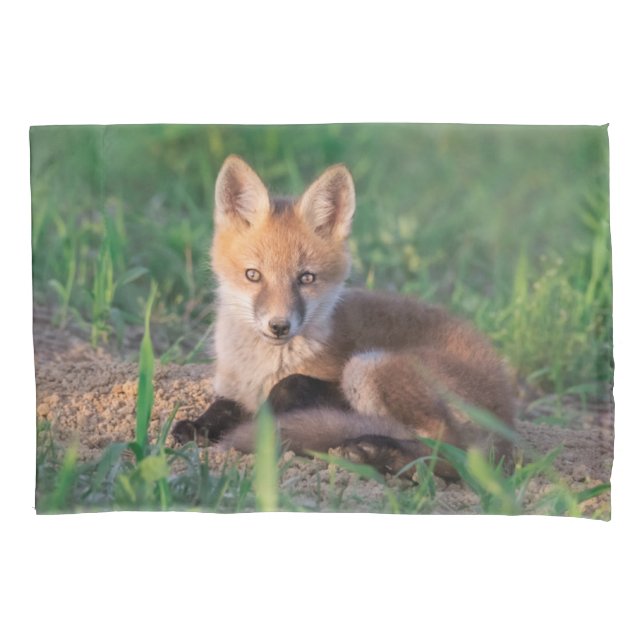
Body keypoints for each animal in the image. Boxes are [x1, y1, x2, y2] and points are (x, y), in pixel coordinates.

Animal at [172, 155, 516, 479]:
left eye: (306, 278)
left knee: (454, 455)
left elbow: (289, 384)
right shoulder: (232, 389)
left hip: (368, 366)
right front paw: (198, 426)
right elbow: (221, 407)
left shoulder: (331, 383)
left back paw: (380, 453)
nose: (279, 326)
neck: (260, 368)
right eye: (253, 275)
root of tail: (508, 423)